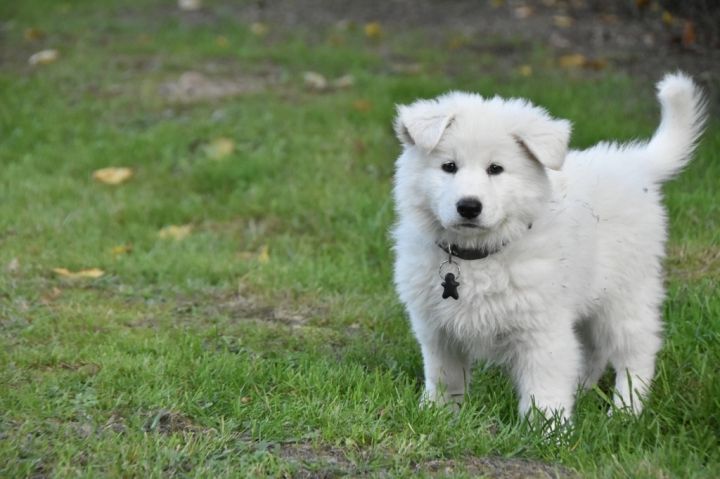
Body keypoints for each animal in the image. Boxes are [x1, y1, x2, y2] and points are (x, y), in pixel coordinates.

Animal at [392, 73, 705, 421]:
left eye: (495, 169)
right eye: (449, 166)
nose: (469, 207)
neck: (478, 257)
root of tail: (635, 163)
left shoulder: (542, 328)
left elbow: (543, 386)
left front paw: (549, 427)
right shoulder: (437, 327)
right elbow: (444, 375)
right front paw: (437, 414)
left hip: (626, 293)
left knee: (635, 351)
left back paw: (626, 411)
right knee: (592, 350)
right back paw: (583, 391)